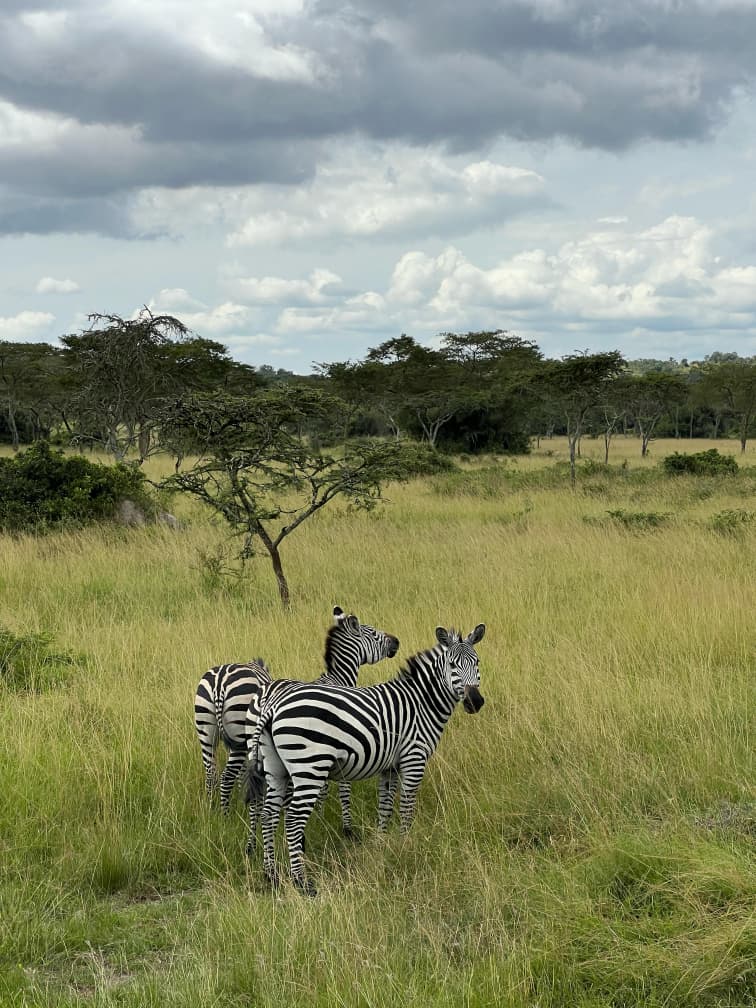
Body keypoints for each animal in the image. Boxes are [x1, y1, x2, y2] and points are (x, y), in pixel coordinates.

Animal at [194, 606, 399, 815]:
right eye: (373, 633)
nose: (397, 641)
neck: (336, 679)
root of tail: (220, 681)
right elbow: (325, 787)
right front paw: (321, 814)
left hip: (207, 731)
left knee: (213, 774)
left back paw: (213, 813)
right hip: (239, 739)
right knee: (227, 777)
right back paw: (225, 815)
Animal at [246, 623, 486, 895]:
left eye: (477, 662)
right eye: (452, 665)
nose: (475, 702)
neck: (421, 703)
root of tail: (272, 706)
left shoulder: (389, 767)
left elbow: (385, 807)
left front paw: (384, 845)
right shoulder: (413, 759)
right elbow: (406, 807)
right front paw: (406, 842)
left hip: (275, 769)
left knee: (269, 813)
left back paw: (271, 875)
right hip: (309, 767)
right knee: (293, 819)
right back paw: (302, 883)